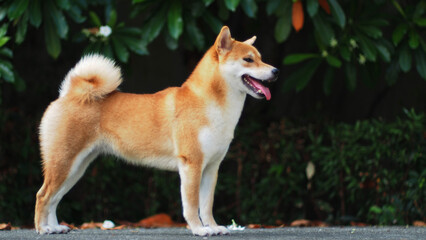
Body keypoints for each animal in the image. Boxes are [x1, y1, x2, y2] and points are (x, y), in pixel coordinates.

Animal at [35, 26, 278, 236]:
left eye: (261, 57)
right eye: (248, 59)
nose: (275, 70)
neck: (210, 104)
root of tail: (68, 94)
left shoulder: (211, 168)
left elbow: (206, 205)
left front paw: (213, 227)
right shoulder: (191, 165)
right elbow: (192, 205)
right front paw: (199, 230)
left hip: (76, 168)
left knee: (54, 198)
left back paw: (55, 227)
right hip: (64, 163)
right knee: (43, 195)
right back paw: (42, 229)